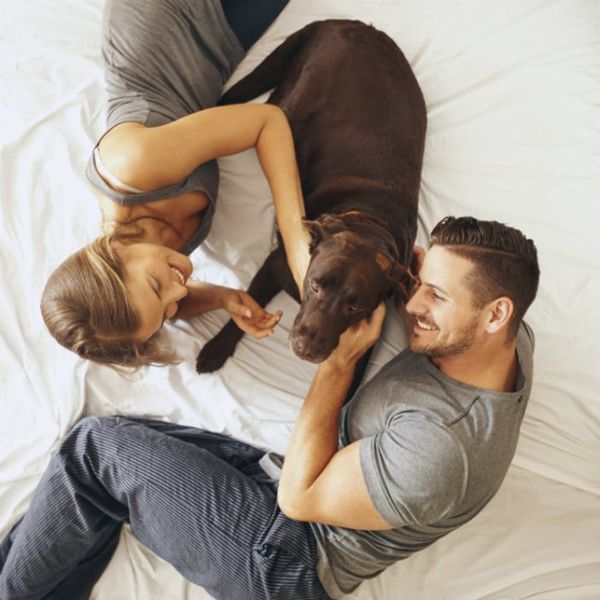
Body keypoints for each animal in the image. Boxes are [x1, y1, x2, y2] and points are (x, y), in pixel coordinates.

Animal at [196, 20, 427, 378]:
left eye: (354, 305)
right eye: (316, 286)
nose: (305, 349)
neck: (369, 220)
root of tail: (347, 23)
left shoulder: (366, 344)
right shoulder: (273, 265)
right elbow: (249, 303)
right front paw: (217, 348)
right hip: (287, 106)